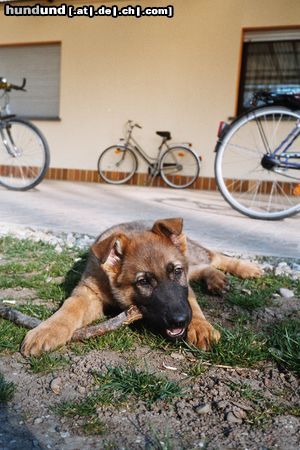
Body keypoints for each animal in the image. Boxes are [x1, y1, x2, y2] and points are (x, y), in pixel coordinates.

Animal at [21, 216, 262, 356]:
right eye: (143, 281)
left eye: (176, 272)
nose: (180, 321)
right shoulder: (88, 292)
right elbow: (69, 308)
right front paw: (48, 329)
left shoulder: (185, 286)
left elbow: (192, 301)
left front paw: (201, 326)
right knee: (204, 266)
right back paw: (217, 279)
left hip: (193, 255)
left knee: (213, 256)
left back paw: (246, 268)